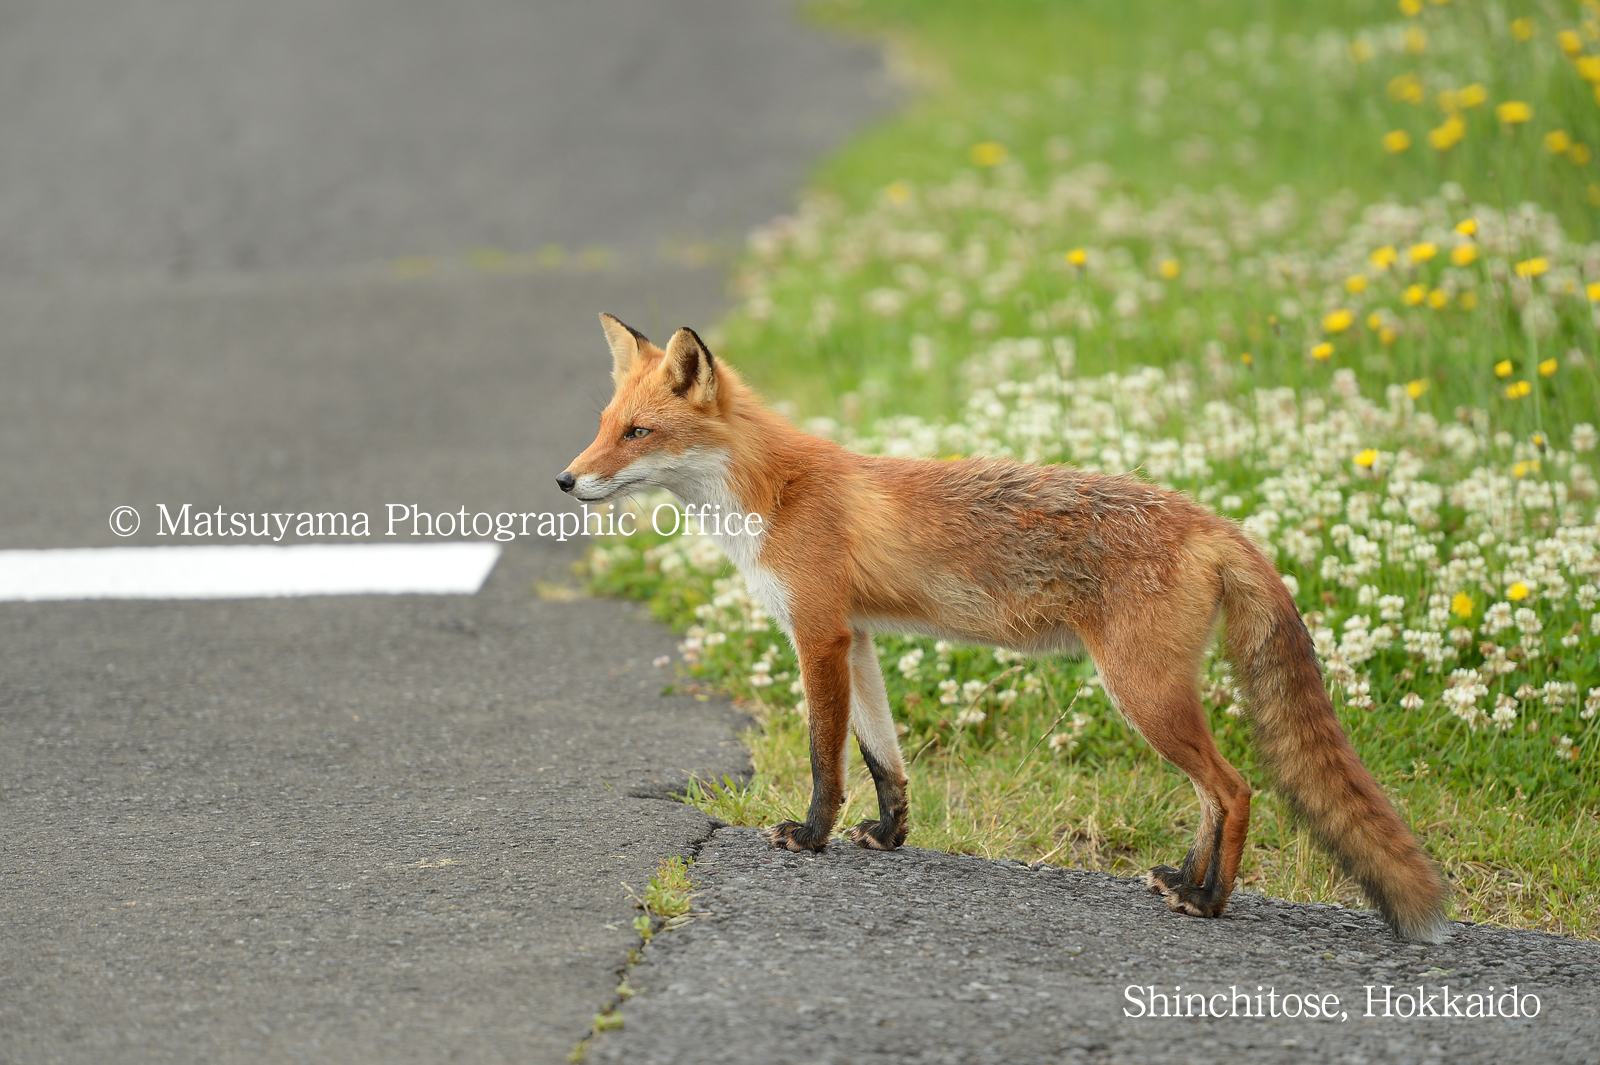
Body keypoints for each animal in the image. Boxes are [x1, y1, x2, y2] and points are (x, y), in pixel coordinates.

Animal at [560, 313, 1452, 940]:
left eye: (639, 432)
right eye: (604, 423)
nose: (566, 479)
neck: (773, 491)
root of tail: (1212, 522)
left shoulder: (818, 633)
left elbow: (825, 757)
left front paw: (810, 835)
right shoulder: (861, 636)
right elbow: (885, 757)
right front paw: (889, 833)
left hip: (1140, 691)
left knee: (1234, 789)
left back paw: (1211, 902)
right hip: (1156, 692)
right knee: (1211, 794)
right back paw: (1185, 880)